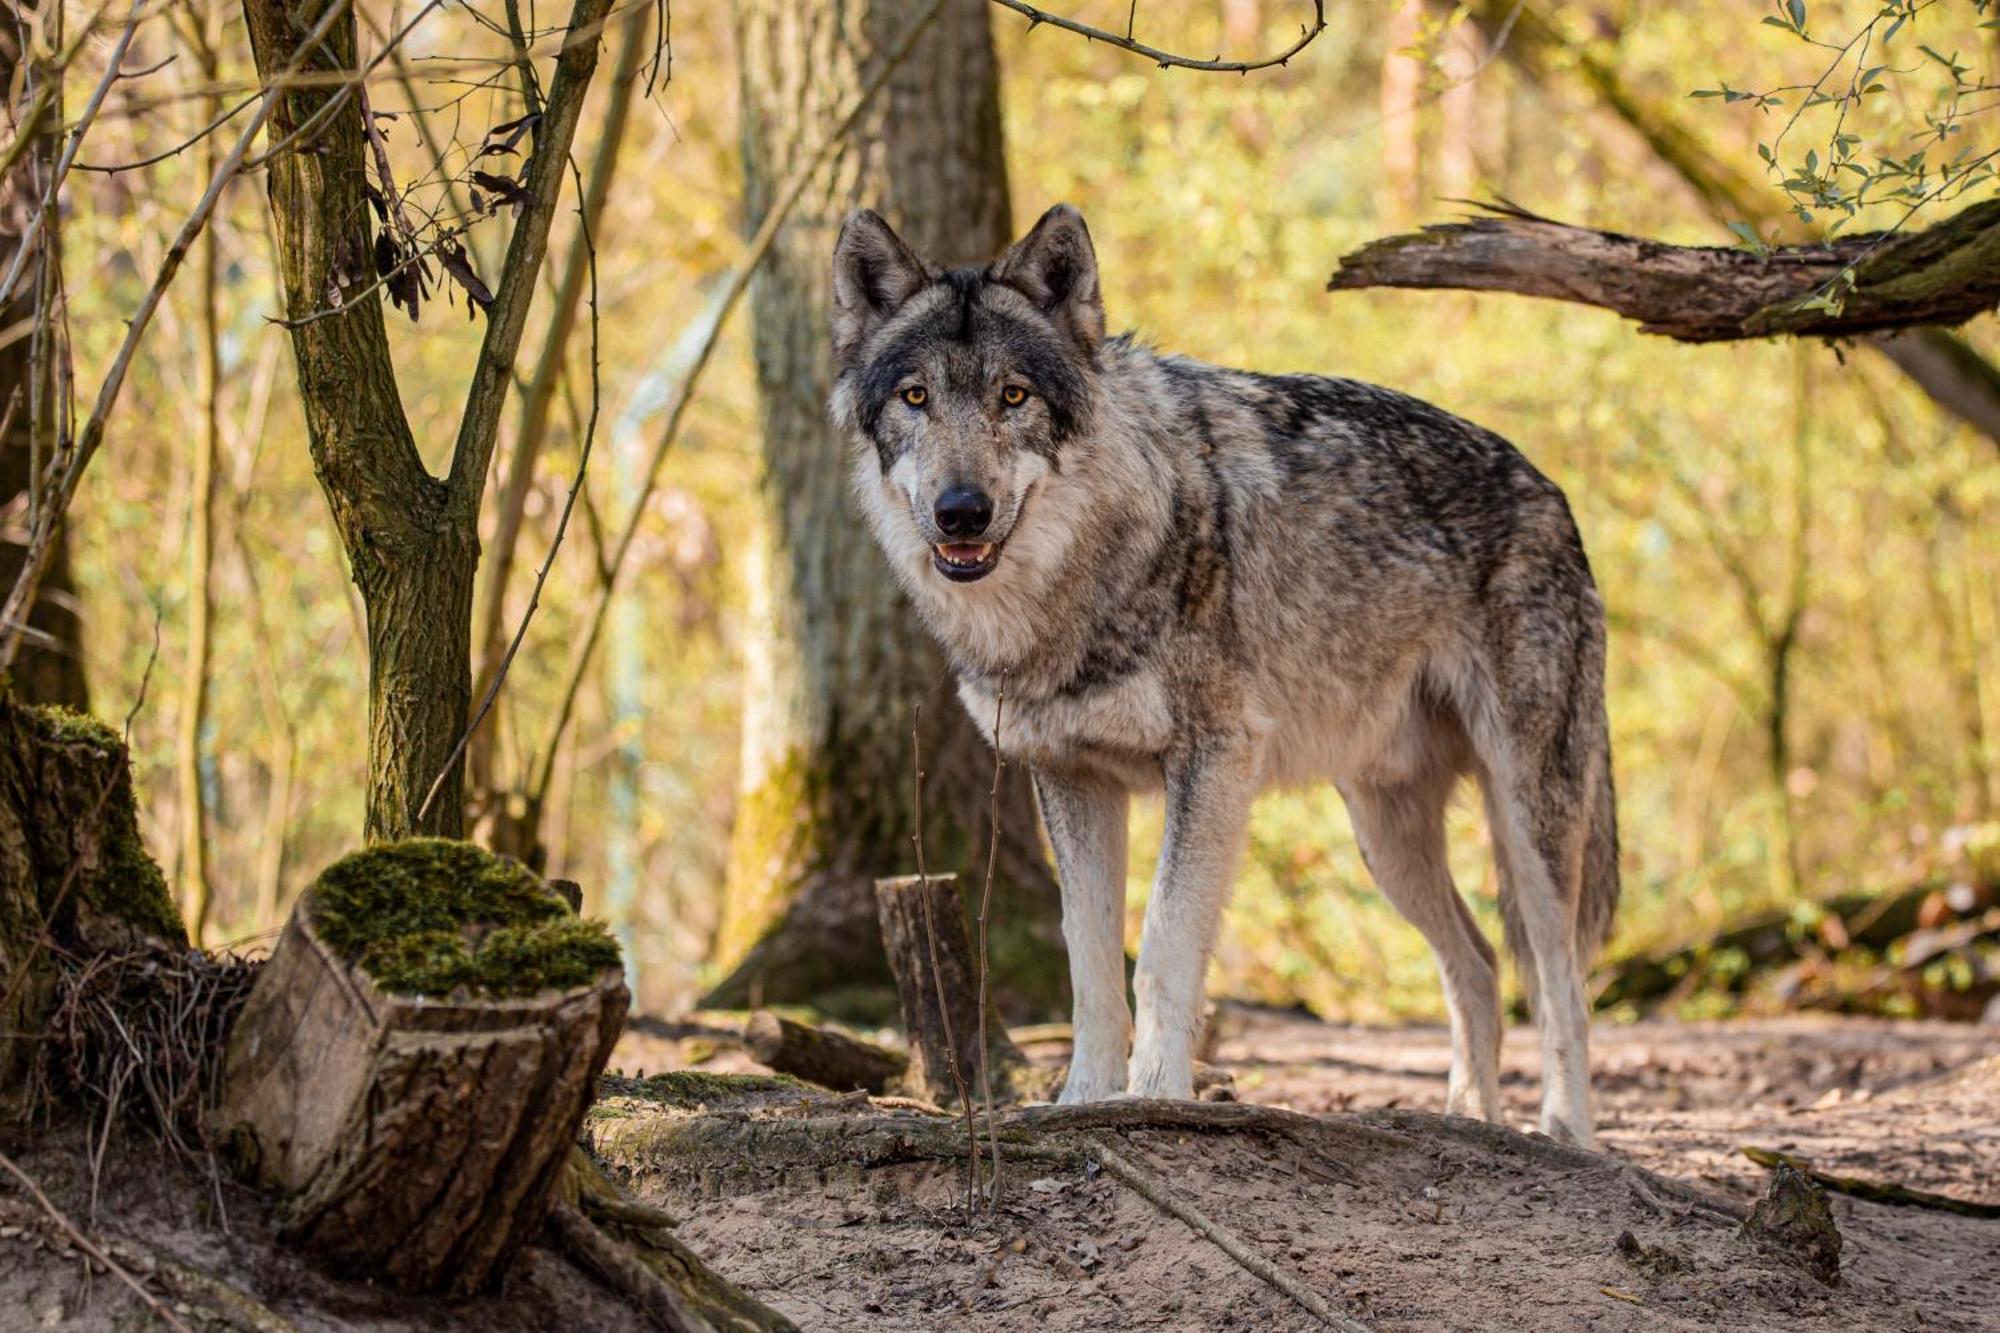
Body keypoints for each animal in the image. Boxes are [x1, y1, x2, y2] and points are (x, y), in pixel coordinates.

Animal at [828, 202, 1624, 1136]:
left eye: (1012, 396)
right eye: (915, 396)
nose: (961, 512)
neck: (1077, 586)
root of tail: (1553, 491)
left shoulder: (1213, 762)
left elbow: (1163, 945)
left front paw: (1155, 1095)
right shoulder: (1069, 778)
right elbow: (1089, 963)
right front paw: (1081, 1101)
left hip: (1531, 818)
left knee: (1563, 982)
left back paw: (1564, 1132)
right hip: (1385, 838)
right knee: (1480, 962)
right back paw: (1468, 1119)